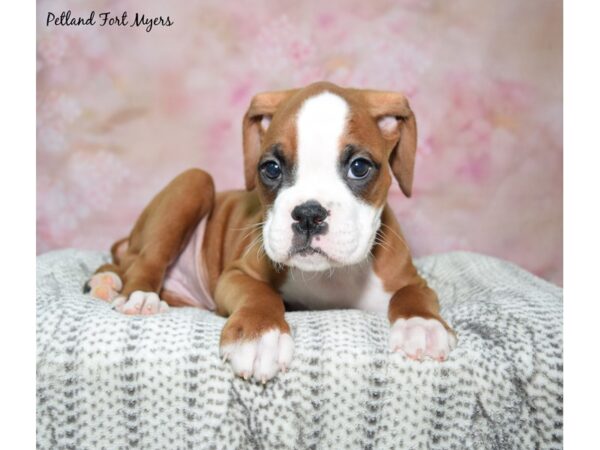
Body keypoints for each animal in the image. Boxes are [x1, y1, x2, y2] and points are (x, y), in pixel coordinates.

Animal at [84, 81, 458, 384]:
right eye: (271, 168)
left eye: (360, 167)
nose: (309, 214)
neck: (328, 277)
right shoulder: (237, 274)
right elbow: (260, 295)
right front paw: (258, 335)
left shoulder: (412, 279)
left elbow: (412, 295)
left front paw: (422, 325)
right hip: (194, 181)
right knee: (144, 260)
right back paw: (135, 294)